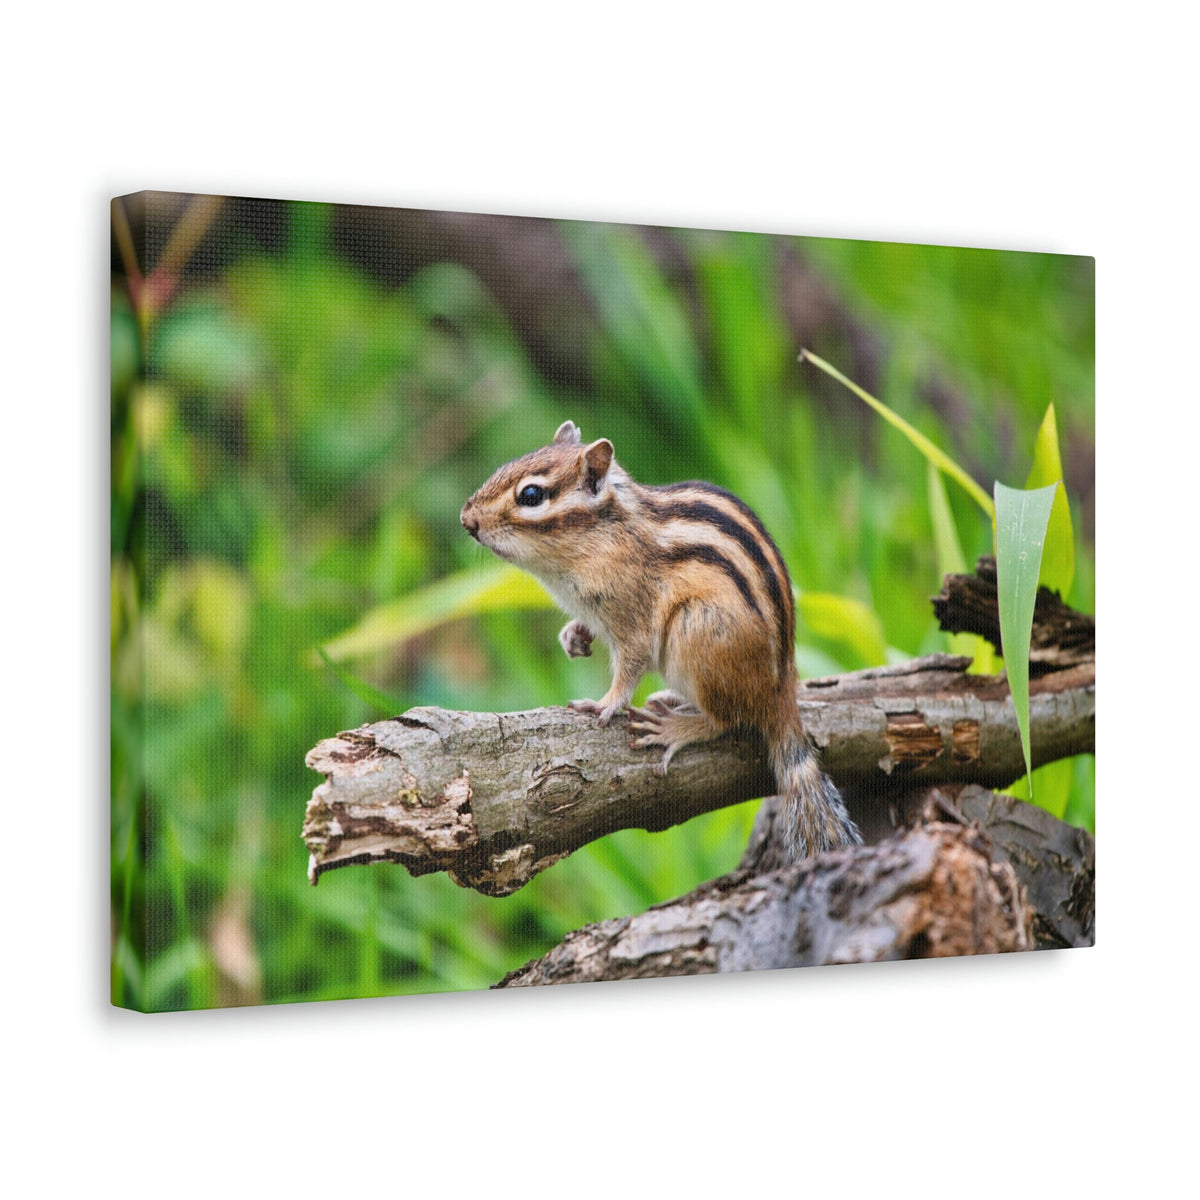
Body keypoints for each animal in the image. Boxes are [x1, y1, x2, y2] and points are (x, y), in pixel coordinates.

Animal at [460, 420, 862, 862]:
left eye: (530, 495)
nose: (466, 519)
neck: (603, 535)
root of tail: (781, 691)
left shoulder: (634, 617)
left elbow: (630, 666)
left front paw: (605, 703)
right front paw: (573, 636)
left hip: (697, 630)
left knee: (727, 721)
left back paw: (676, 727)